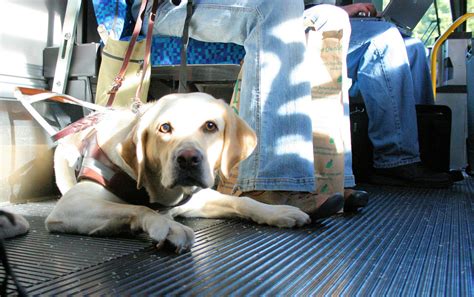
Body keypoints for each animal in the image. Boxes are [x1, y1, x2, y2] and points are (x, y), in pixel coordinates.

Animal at [46, 93, 310, 252]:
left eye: (210, 126)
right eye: (165, 128)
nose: (188, 159)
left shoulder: (197, 199)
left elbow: (242, 201)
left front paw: (277, 211)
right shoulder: (71, 205)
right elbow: (138, 208)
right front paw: (170, 227)